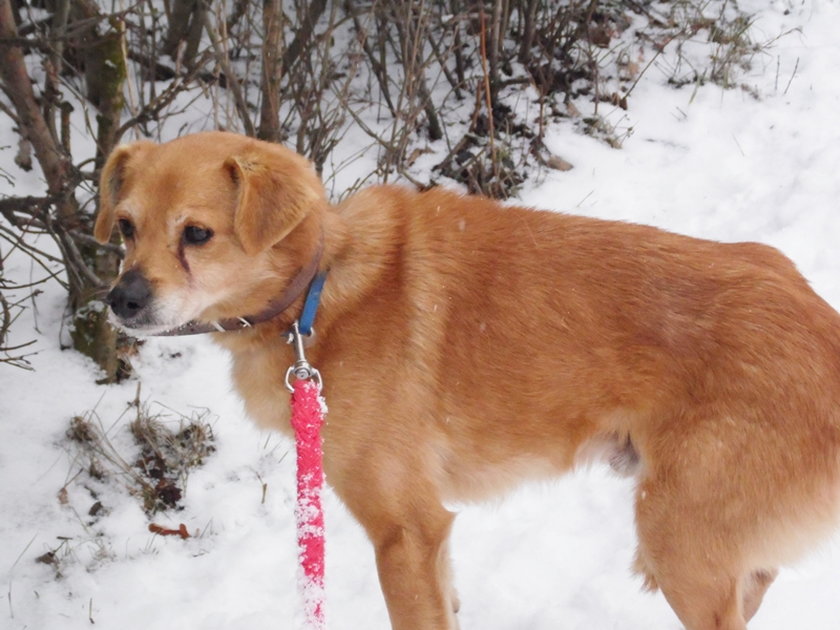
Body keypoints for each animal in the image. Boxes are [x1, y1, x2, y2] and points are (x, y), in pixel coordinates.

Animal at [92, 131, 840, 628]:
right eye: (125, 227)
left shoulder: (405, 533)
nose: (120, 302)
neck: (317, 290)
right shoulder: (432, 543)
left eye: (196, 234)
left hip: (676, 541)